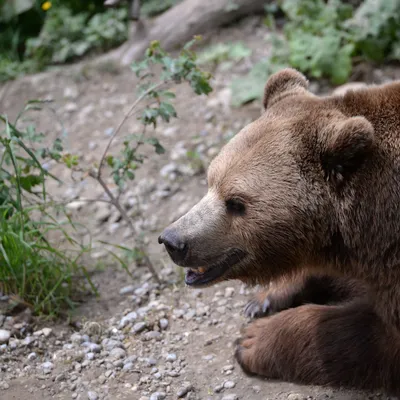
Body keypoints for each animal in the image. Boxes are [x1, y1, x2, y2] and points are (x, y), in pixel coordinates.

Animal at [158, 68, 400, 394]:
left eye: (236, 203)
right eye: (210, 182)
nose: (173, 240)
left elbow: (368, 336)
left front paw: (252, 339)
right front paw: (263, 300)